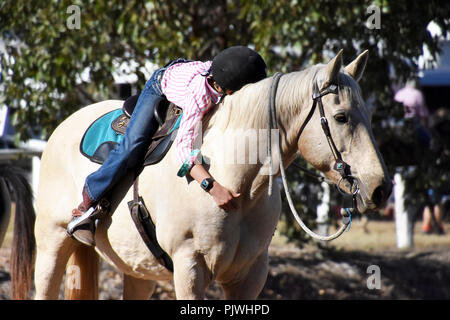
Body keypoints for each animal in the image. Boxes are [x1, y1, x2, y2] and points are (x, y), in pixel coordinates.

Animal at [14, 48, 390, 298]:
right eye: (340, 117)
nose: (380, 188)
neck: (236, 178)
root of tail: (61, 129)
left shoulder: (249, 276)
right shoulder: (189, 267)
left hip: (138, 270)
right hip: (52, 245)